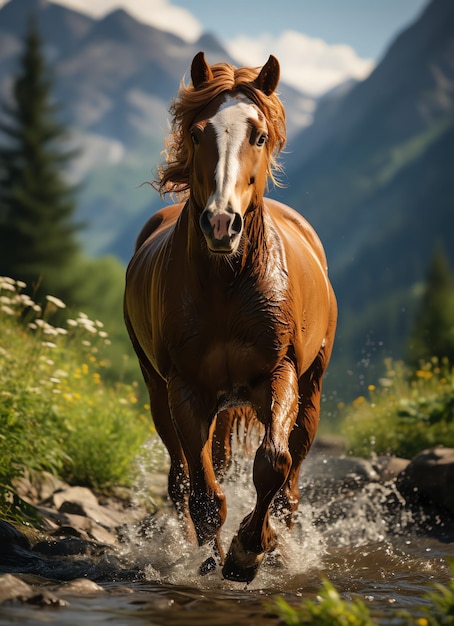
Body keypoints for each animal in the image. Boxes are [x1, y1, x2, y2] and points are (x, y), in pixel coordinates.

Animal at [124, 50, 336, 580]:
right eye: (199, 133)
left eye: (258, 135)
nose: (221, 223)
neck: (227, 283)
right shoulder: (185, 392)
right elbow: (203, 494)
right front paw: (211, 562)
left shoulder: (279, 375)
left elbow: (273, 464)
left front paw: (248, 552)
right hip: (159, 393)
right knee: (184, 479)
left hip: (311, 391)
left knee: (290, 487)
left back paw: (278, 548)